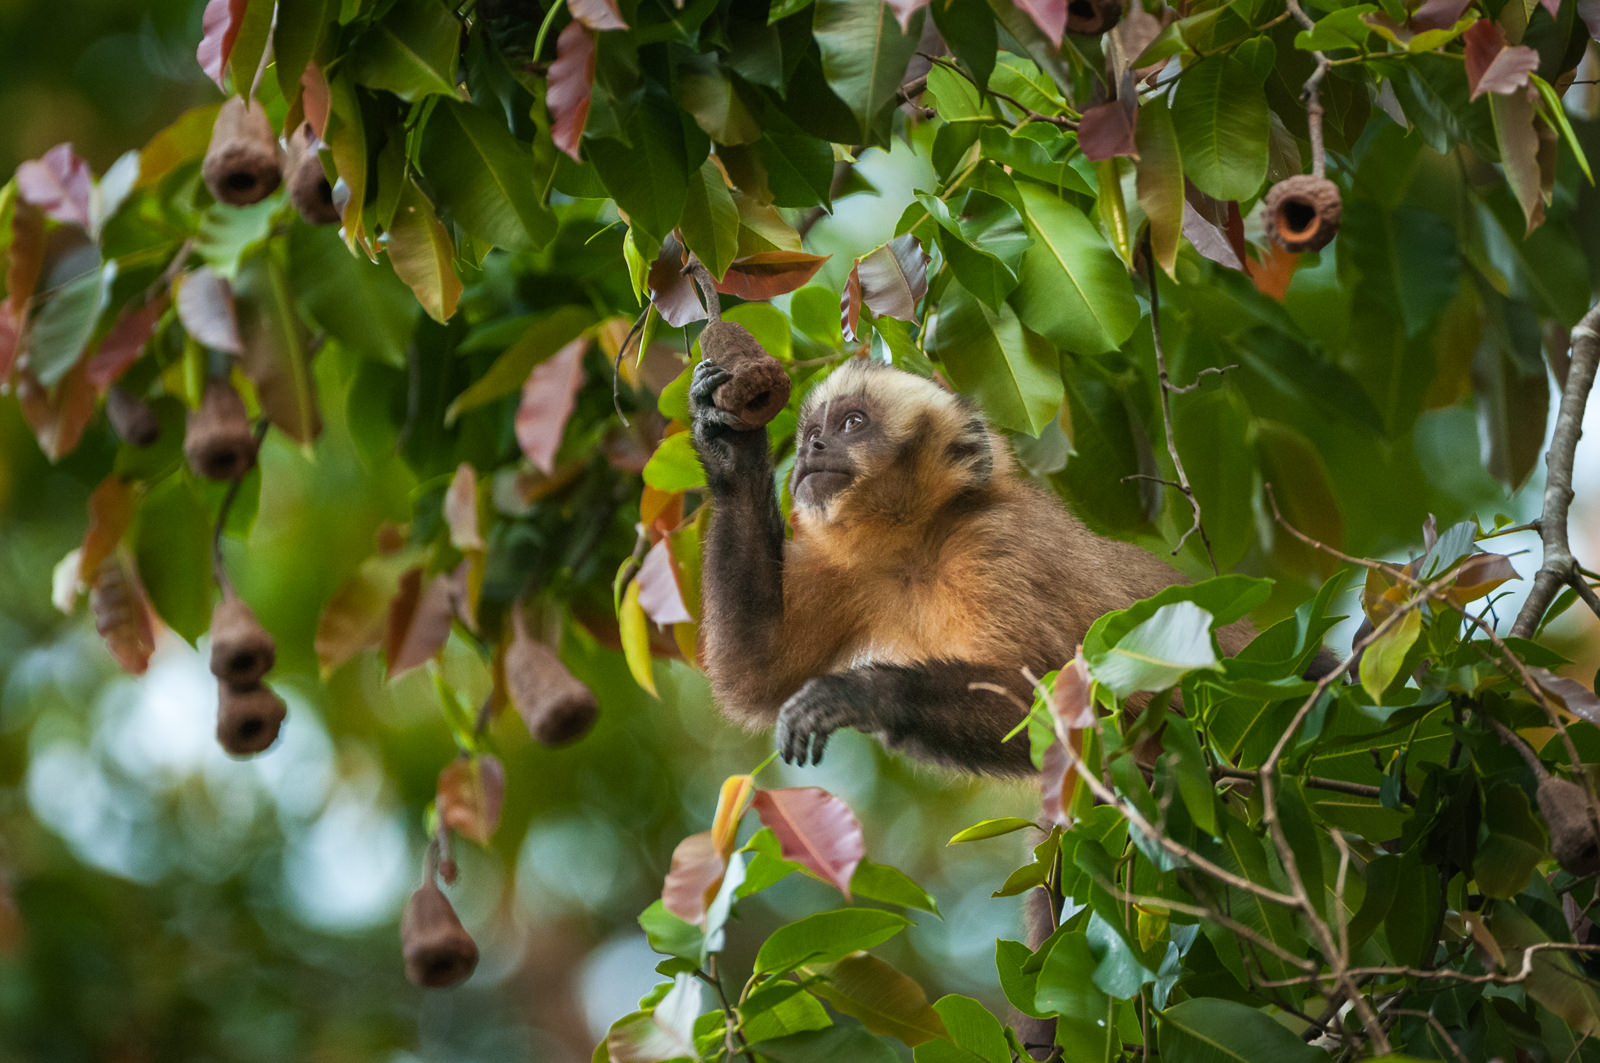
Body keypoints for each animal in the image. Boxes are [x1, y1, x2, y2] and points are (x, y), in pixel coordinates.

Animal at [689, 357, 1259, 778]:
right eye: (812, 430)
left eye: (852, 423)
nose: (812, 446)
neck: (920, 548)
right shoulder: (853, 570)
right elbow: (757, 672)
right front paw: (731, 447)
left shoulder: (994, 543)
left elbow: (1067, 701)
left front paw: (861, 695)